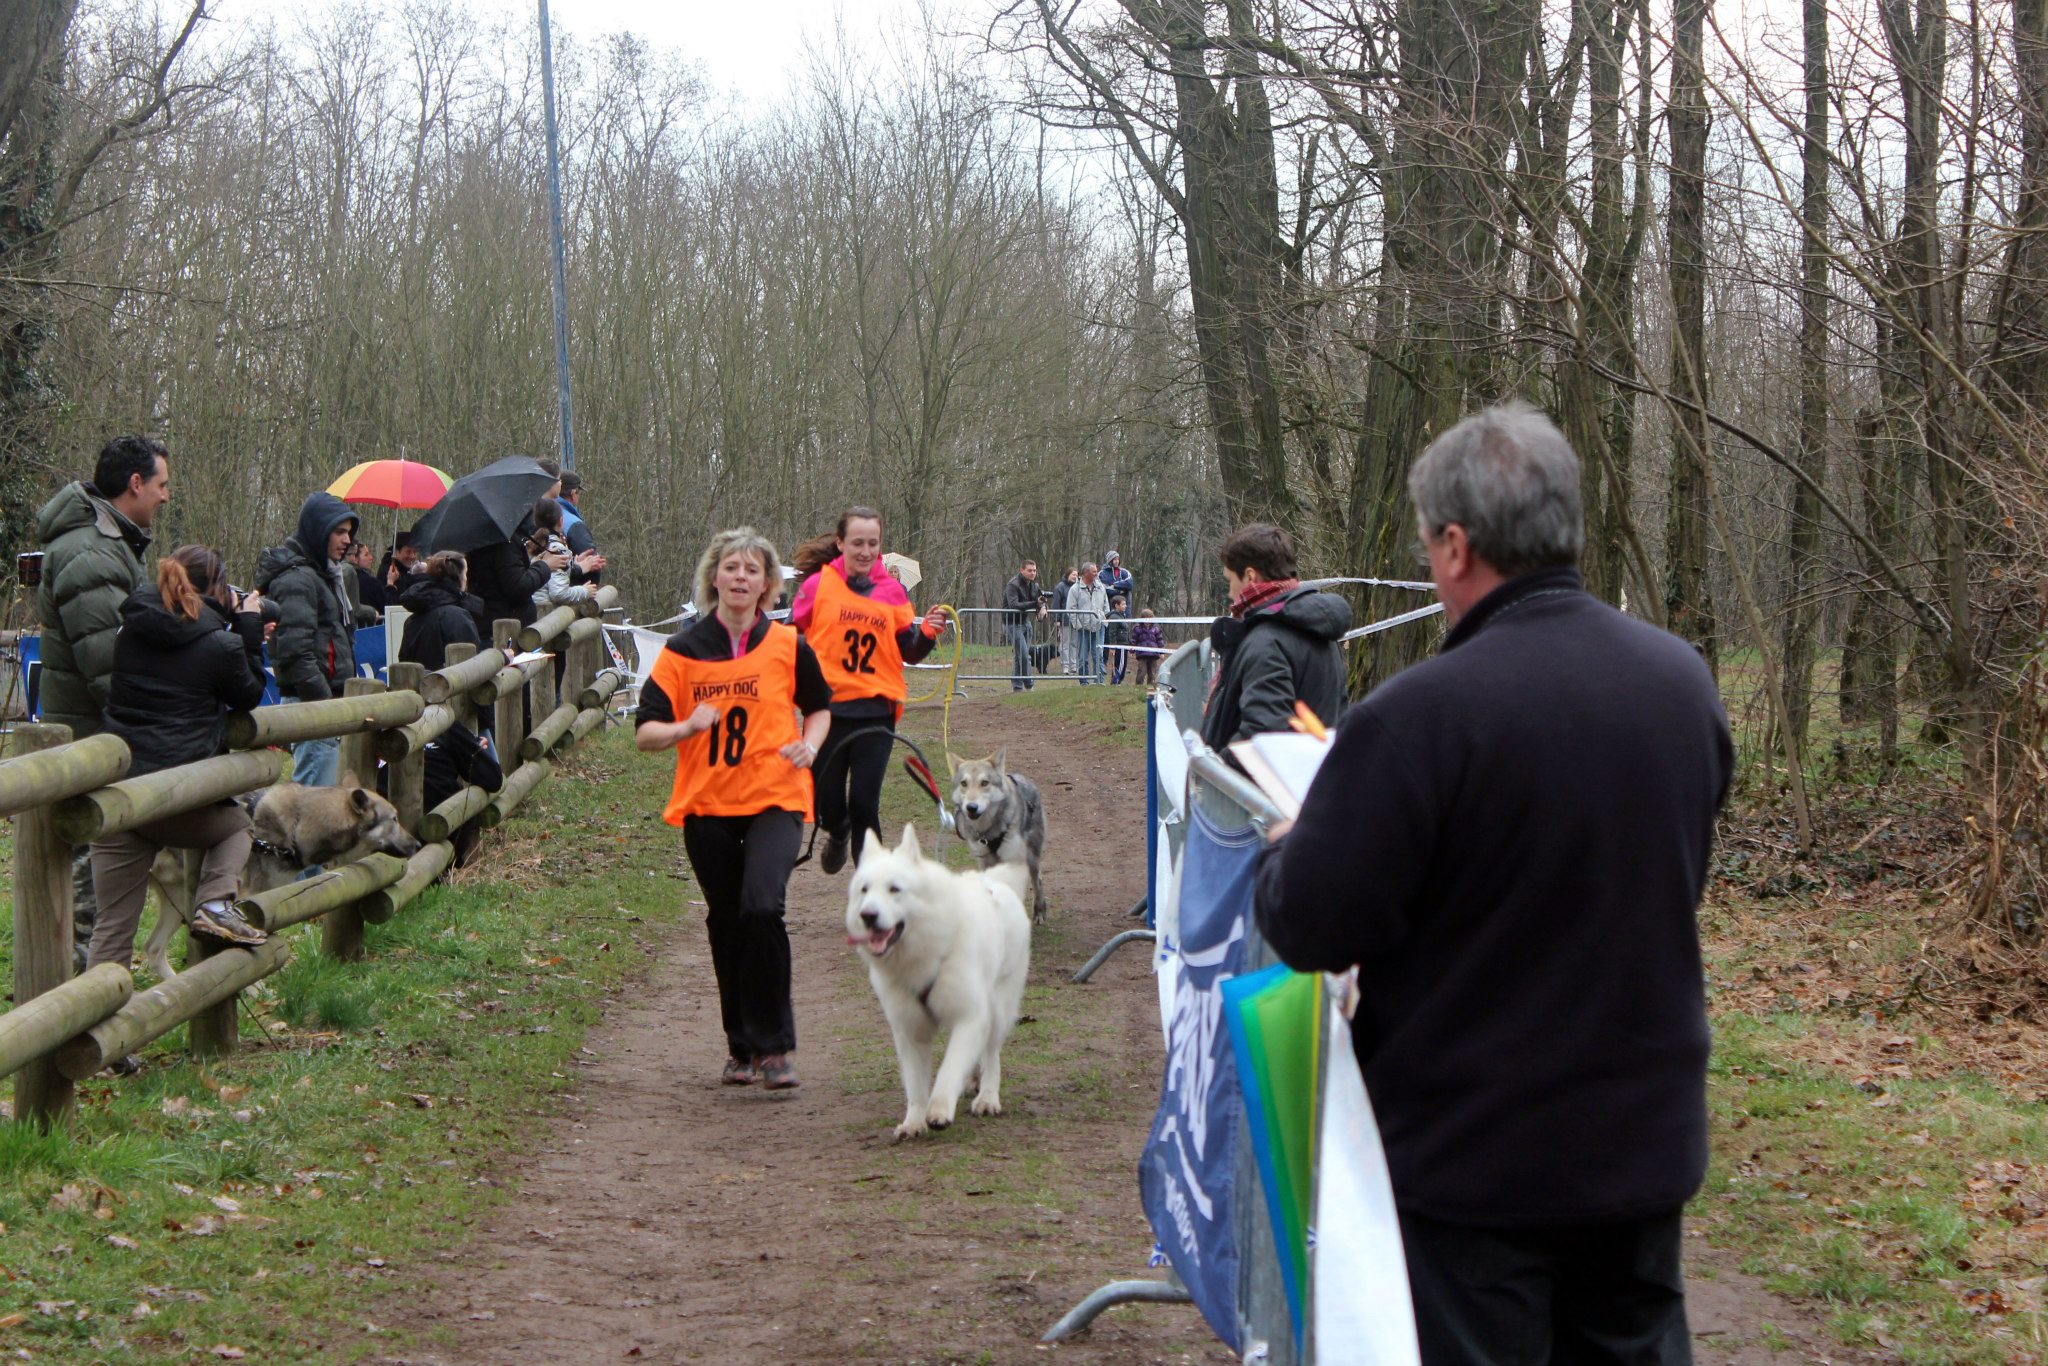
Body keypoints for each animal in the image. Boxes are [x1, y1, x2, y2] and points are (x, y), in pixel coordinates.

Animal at [843, 827, 1032, 1138]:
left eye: (894, 889)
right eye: (864, 890)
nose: (867, 915)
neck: (923, 953)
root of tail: (994, 881)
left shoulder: (970, 1018)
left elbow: (949, 1069)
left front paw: (939, 1110)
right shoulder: (909, 1031)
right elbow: (916, 1085)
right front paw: (914, 1122)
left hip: (998, 1008)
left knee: (991, 1054)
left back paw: (987, 1097)